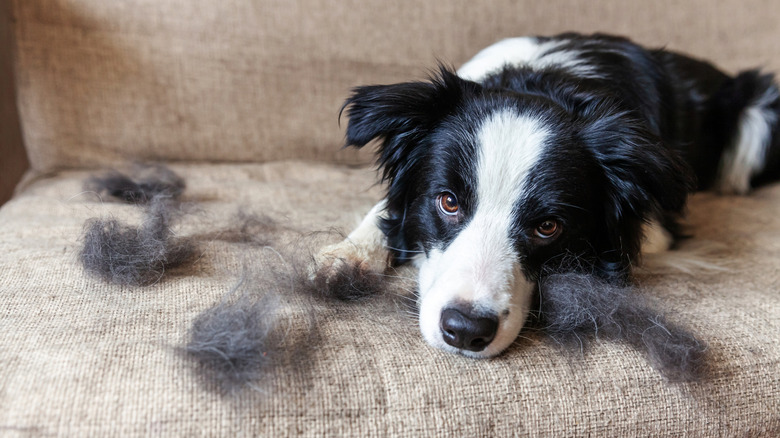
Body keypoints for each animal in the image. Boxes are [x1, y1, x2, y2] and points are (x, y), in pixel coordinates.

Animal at [312, 33, 780, 356]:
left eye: (548, 226)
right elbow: (386, 210)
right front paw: (348, 255)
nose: (465, 331)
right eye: (448, 202)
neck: (544, 84)